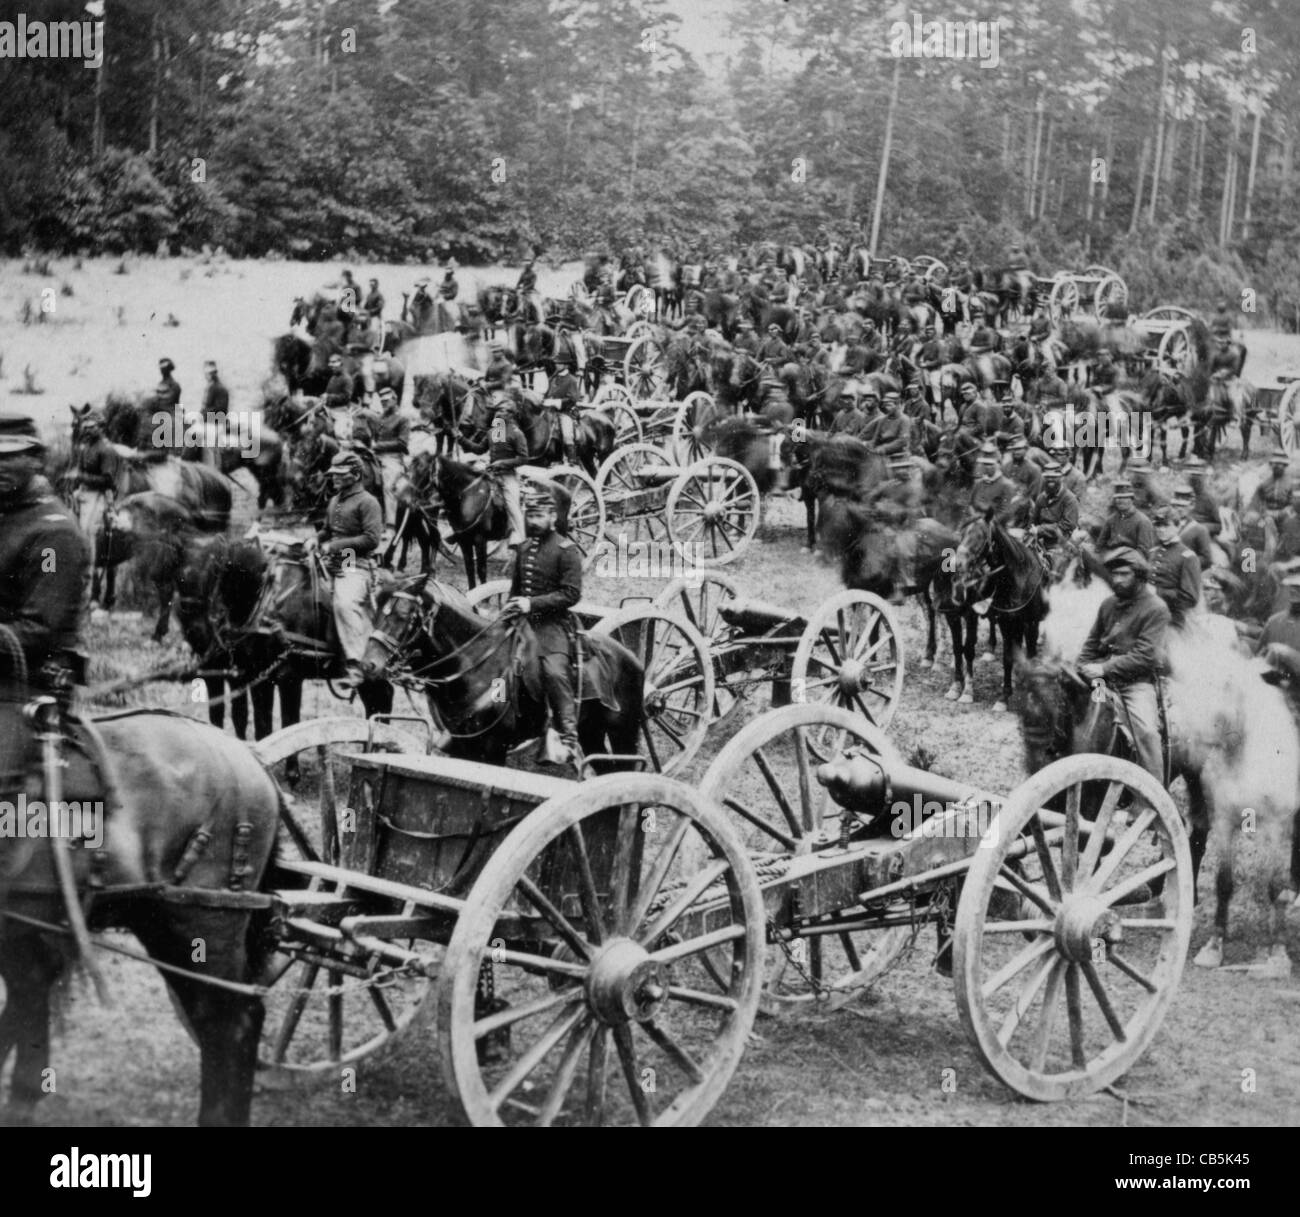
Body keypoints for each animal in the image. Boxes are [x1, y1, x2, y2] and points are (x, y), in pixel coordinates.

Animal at [358, 572, 642, 764]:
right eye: (377, 612)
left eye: (403, 616)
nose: (369, 664)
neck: (474, 663)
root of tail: (634, 659)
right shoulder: (463, 746)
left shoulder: (493, 747)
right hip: (592, 733)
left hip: (623, 735)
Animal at [951, 509, 1050, 707]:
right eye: (962, 534)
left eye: (980, 536)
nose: (958, 564)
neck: (1019, 577)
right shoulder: (1006, 622)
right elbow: (1008, 657)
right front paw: (1004, 696)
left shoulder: (1031, 622)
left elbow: (1029, 653)